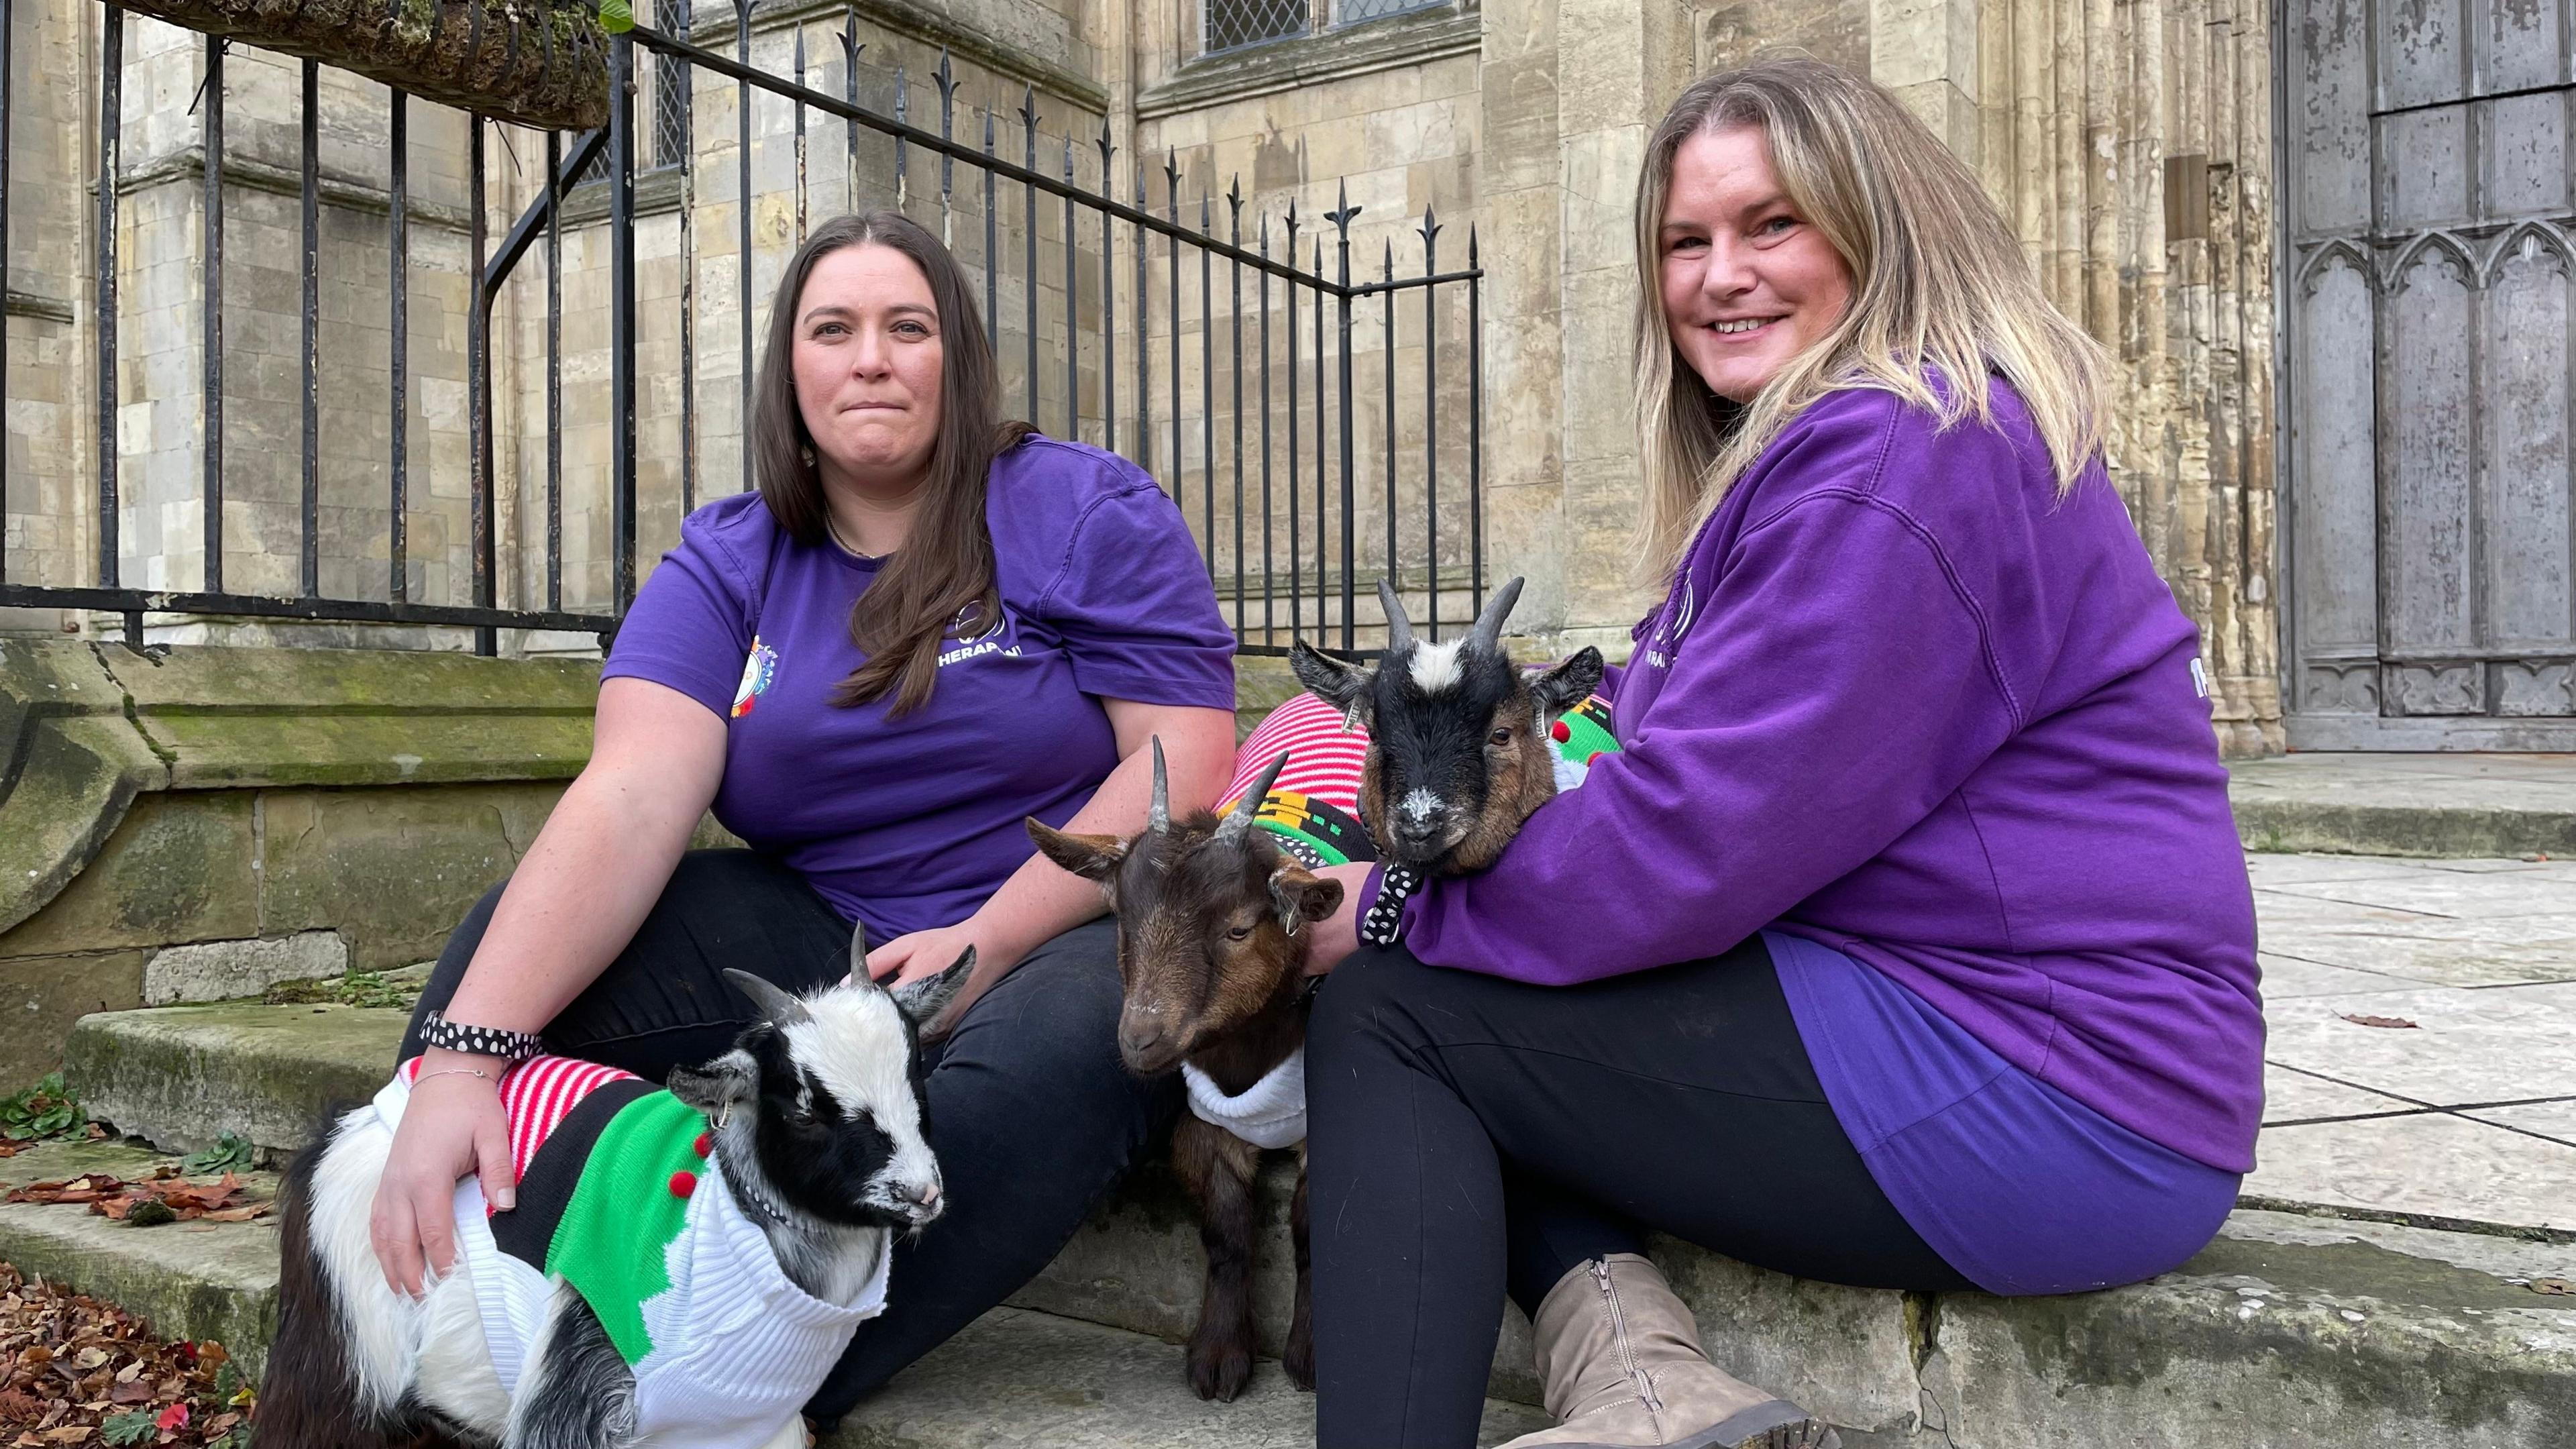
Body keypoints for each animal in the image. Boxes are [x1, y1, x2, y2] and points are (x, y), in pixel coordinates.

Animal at [256, 938, 968, 1444]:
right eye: (802, 1107)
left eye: (916, 1076)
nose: (922, 1194)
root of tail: (347, 1126)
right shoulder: (575, 1397)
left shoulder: (754, 1424)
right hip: (343, 1357)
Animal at [1025, 737, 1350, 1392]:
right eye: (1122, 921)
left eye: (1239, 928)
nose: (1141, 1039)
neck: (1249, 1062)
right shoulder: (1202, 1123)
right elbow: (1225, 1229)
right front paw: (1219, 1356)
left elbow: (1310, 1229)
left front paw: (1310, 1356)